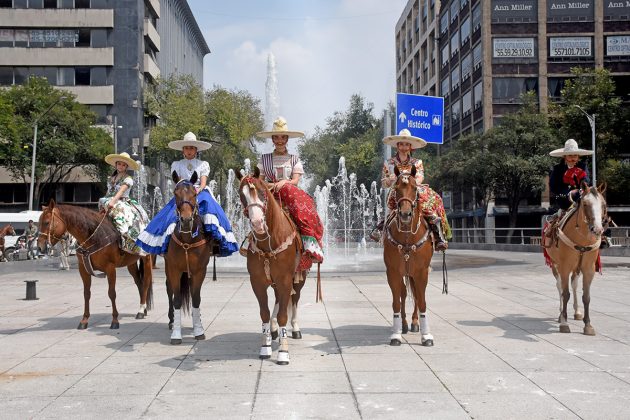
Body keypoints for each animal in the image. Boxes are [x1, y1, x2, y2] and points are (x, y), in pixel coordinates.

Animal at [36, 201, 153, 332]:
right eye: (39, 223)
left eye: (46, 222)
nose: (40, 247)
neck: (93, 236)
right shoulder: (83, 269)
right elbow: (86, 293)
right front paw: (84, 320)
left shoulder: (110, 268)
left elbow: (112, 293)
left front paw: (115, 320)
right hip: (131, 262)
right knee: (139, 282)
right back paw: (143, 308)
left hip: (146, 258)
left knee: (146, 282)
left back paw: (141, 310)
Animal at [164, 171, 216, 344]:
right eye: (175, 193)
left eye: (194, 193)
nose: (186, 220)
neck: (187, 239)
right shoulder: (174, 269)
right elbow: (177, 299)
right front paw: (176, 334)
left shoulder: (200, 271)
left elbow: (196, 298)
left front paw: (199, 330)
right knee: (169, 290)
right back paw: (172, 320)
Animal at [236, 167, 308, 364]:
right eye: (242, 195)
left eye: (262, 193)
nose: (258, 224)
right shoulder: (257, 283)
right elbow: (265, 313)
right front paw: (265, 345)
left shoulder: (285, 280)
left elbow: (284, 314)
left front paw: (283, 352)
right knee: (277, 300)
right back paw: (273, 330)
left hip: (299, 278)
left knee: (295, 299)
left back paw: (295, 328)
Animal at [382, 166, 436, 346]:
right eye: (397, 189)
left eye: (414, 188)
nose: (405, 214)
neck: (407, 236)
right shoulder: (393, 272)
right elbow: (396, 302)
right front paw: (396, 334)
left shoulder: (422, 272)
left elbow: (422, 300)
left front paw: (426, 336)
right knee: (404, 294)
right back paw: (404, 325)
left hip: (413, 273)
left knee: (416, 296)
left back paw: (414, 323)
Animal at [544, 182, 608, 336]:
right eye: (585, 204)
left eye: (603, 204)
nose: (598, 229)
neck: (582, 239)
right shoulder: (564, 267)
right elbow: (565, 293)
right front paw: (564, 323)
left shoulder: (588, 269)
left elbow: (586, 296)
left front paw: (588, 325)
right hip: (555, 265)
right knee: (560, 286)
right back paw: (561, 314)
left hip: (576, 268)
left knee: (574, 284)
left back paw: (577, 312)